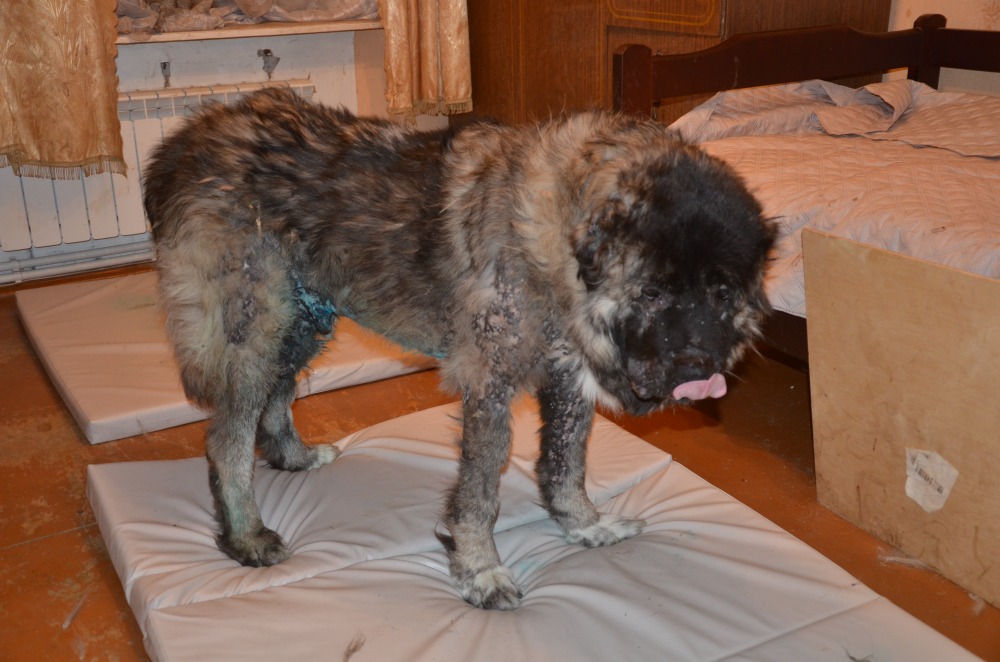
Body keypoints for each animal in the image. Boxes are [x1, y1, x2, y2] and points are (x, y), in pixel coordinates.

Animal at [143, 87, 775, 610]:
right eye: (651, 291)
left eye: (721, 293)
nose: (698, 369)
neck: (561, 236)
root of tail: (187, 138)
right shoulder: (488, 385)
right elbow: (480, 493)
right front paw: (481, 571)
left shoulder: (567, 378)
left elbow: (566, 464)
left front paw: (582, 525)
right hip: (256, 325)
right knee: (225, 441)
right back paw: (247, 537)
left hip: (301, 319)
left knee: (274, 399)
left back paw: (293, 457)